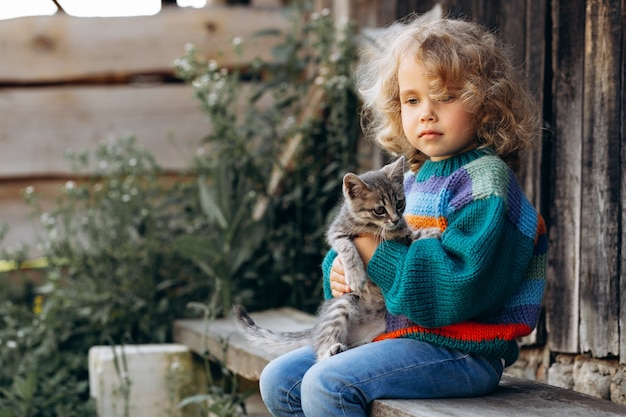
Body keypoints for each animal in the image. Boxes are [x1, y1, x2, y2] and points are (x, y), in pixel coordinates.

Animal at [234, 157, 438, 360]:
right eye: (379, 210)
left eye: (399, 203)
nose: (395, 219)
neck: (374, 227)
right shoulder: (336, 232)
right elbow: (347, 248)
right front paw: (355, 275)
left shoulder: (399, 232)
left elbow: (408, 236)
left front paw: (427, 233)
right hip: (342, 302)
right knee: (321, 352)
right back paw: (332, 349)